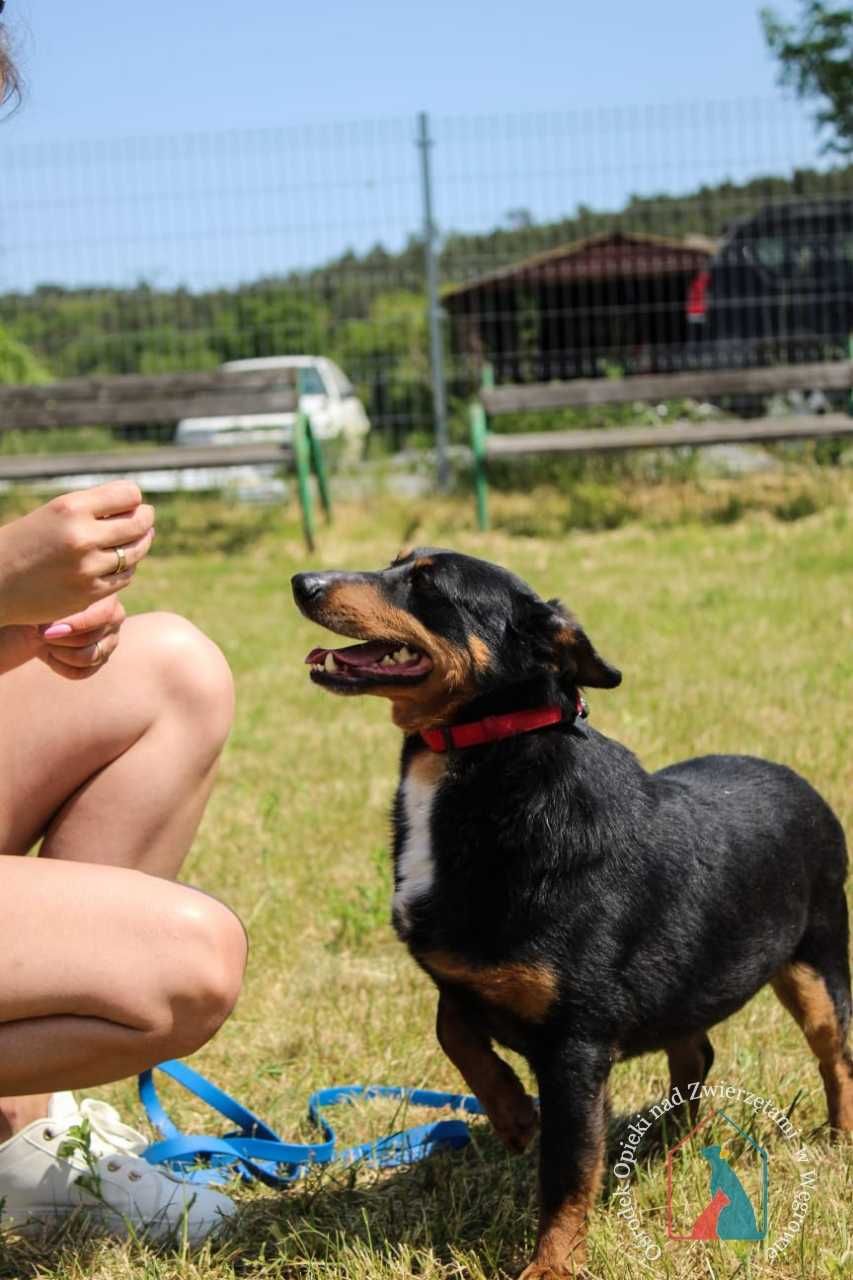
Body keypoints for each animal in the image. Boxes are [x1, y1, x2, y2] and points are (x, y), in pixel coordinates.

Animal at [290, 550, 845, 1280]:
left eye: (425, 582)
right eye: (395, 562)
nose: (302, 583)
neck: (469, 756)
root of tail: (799, 780)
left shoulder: (576, 1048)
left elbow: (566, 1172)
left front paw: (551, 1264)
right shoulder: (458, 972)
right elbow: (452, 1028)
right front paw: (510, 1113)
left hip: (818, 965)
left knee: (835, 1059)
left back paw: (836, 1142)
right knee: (694, 1052)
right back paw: (672, 1144)